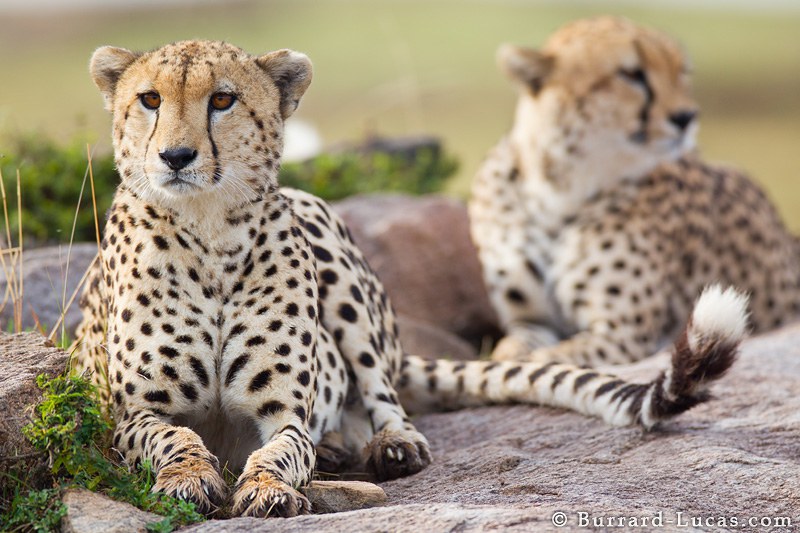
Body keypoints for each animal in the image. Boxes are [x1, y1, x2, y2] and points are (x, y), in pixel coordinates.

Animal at [70, 39, 752, 516]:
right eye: (150, 100)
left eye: (222, 100)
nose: (175, 157)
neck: (211, 235)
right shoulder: (128, 415)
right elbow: (175, 439)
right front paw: (190, 478)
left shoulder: (284, 412)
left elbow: (284, 449)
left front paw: (266, 486)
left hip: (325, 235)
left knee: (383, 392)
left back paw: (385, 446)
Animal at [468, 16, 800, 366]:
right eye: (631, 74)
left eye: (682, 72)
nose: (687, 117)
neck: (558, 191)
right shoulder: (532, 322)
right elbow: (509, 349)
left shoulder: (621, 336)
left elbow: (545, 358)